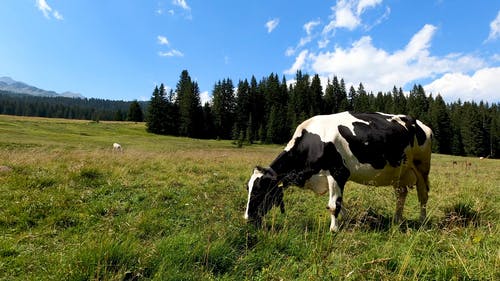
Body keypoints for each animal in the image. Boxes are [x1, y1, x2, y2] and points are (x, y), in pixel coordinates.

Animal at [244, 110, 432, 231]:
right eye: (248, 188)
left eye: (260, 190)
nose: (247, 218)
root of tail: (419, 123)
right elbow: (338, 205)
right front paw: (345, 219)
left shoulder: (338, 172)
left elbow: (334, 205)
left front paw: (333, 229)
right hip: (399, 172)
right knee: (401, 194)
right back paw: (397, 220)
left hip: (422, 167)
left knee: (423, 196)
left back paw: (422, 221)